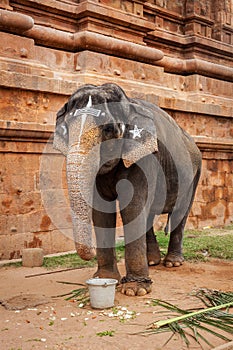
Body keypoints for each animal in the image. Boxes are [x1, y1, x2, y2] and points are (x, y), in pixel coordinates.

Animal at [52, 83, 200, 296]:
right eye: (66, 130)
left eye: (108, 129)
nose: (90, 252)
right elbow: (101, 212)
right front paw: (104, 279)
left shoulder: (144, 157)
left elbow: (132, 207)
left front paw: (135, 290)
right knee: (148, 215)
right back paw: (153, 261)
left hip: (195, 174)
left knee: (180, 212)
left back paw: (172, 263)